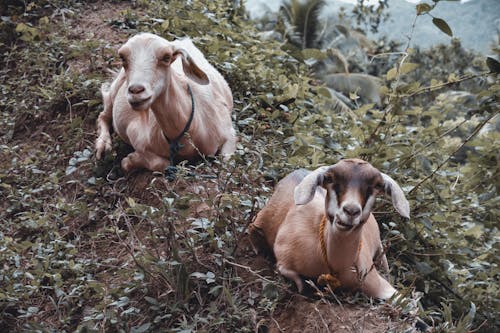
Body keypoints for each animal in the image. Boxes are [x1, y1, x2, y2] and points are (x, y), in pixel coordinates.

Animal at [95, 31, 236, 171]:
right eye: (122, 57)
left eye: (166, 57)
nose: (136, 90)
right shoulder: (135, 134)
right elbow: (161, 163)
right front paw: (130, 160)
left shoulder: (229, 132)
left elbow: (226, 162)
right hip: (115, 90)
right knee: (103, 115)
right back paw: (103, 145)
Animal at [250, 158, 410, 298]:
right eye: (330, 178)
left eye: (377, 185)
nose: (351, 211)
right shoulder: (283, 255)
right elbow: (290, 273)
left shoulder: (379, 284)